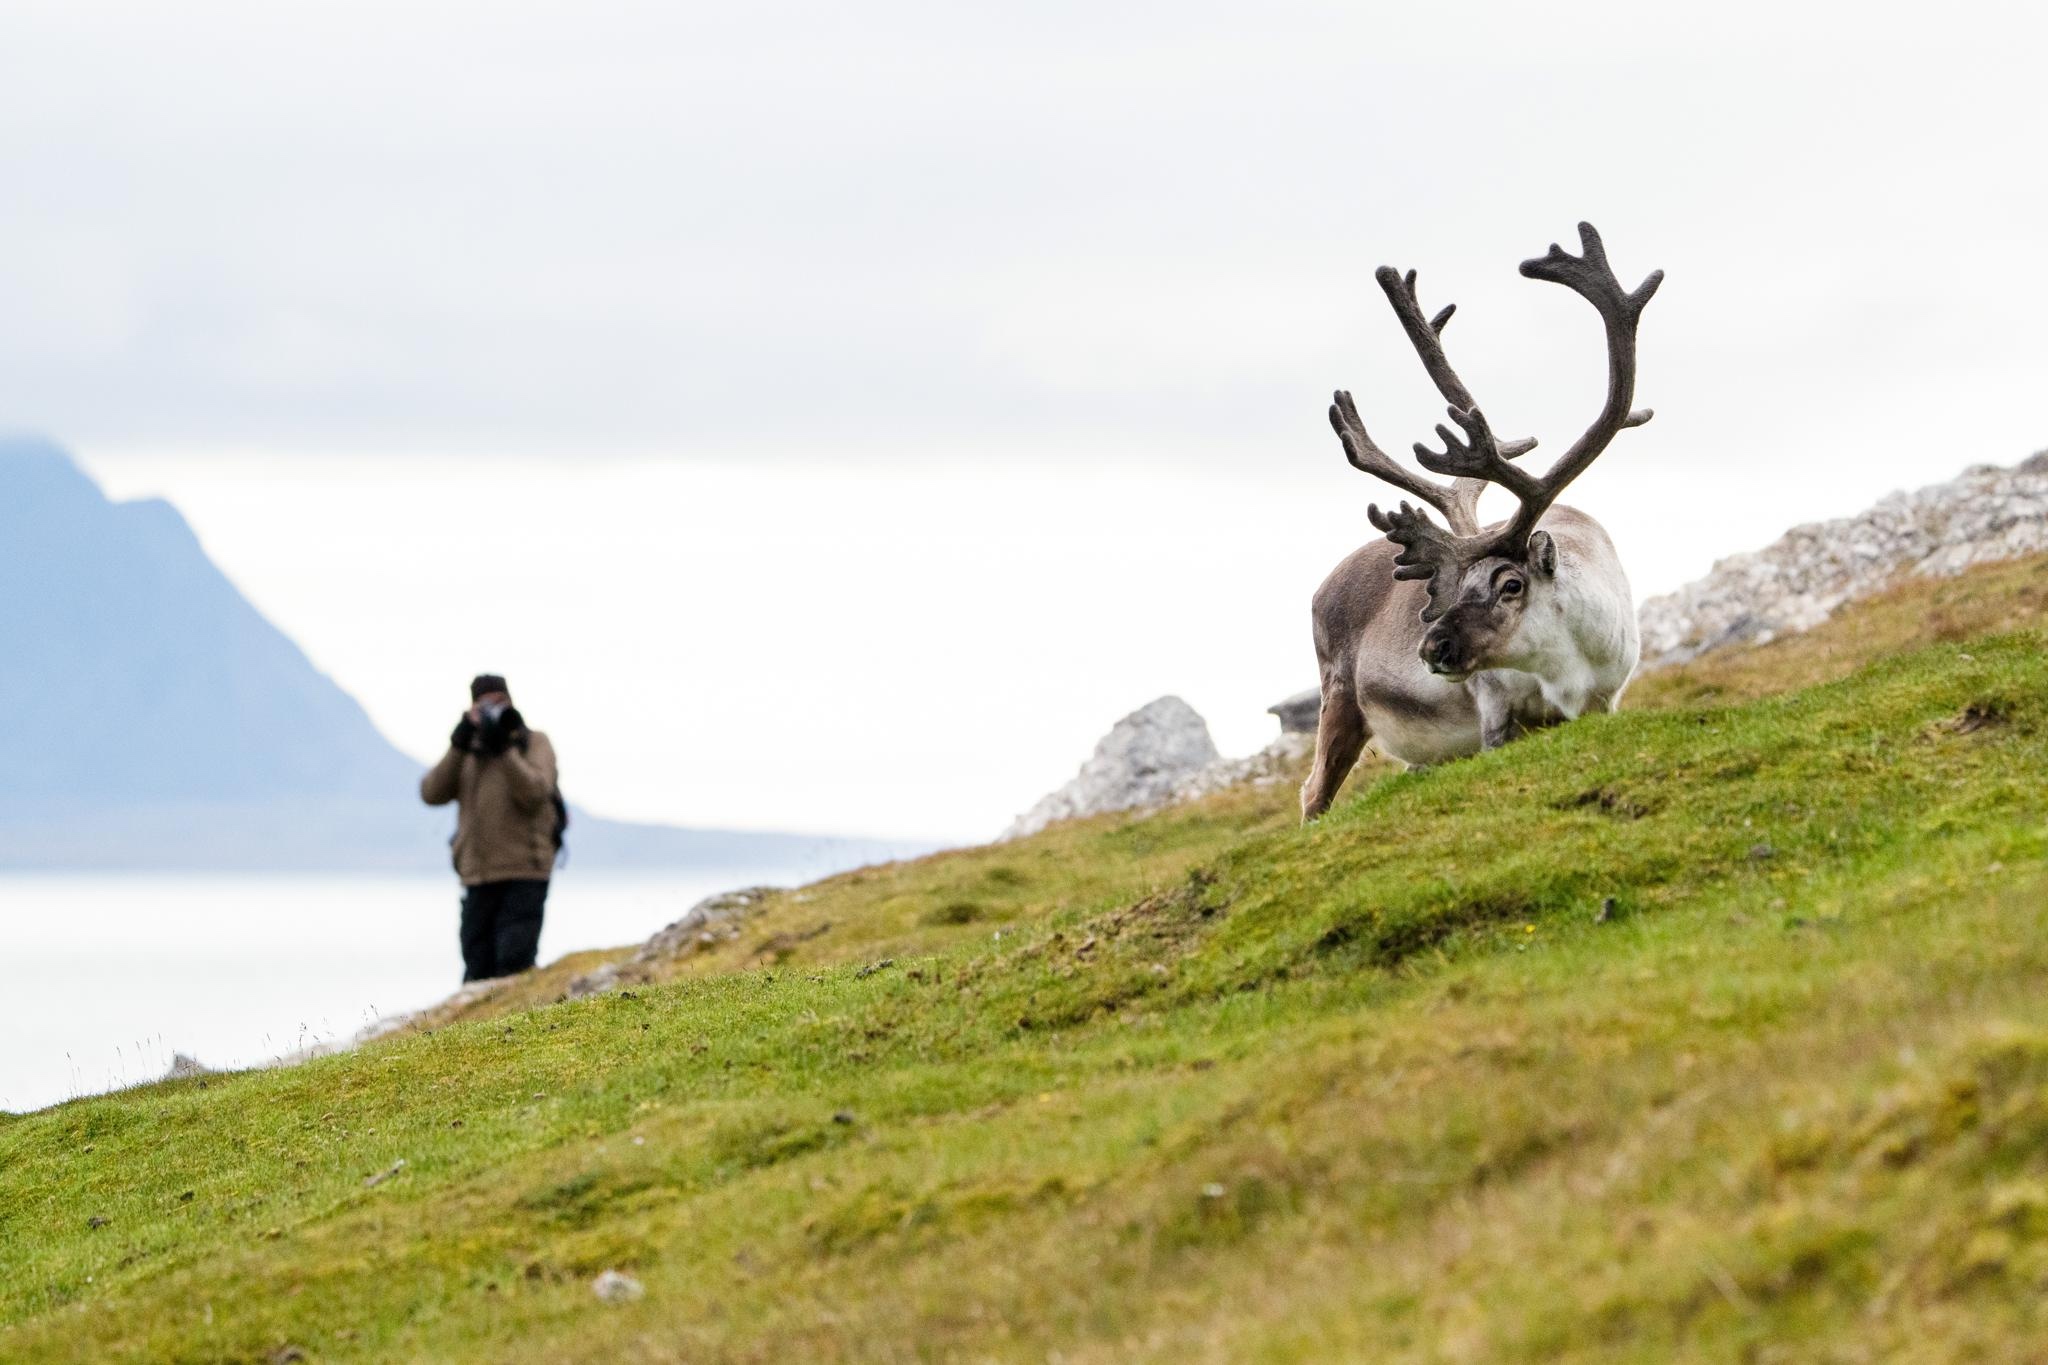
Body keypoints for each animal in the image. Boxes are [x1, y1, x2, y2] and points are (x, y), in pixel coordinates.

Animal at [1301, 222, 1661, 821]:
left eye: (1510, 584)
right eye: (1451, 587)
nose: (1430, 648)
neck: (1570, 669)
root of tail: (1322, 586)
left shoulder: (1605, 702)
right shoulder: (1495, 716)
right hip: (1339, 699)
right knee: (1312, 794)